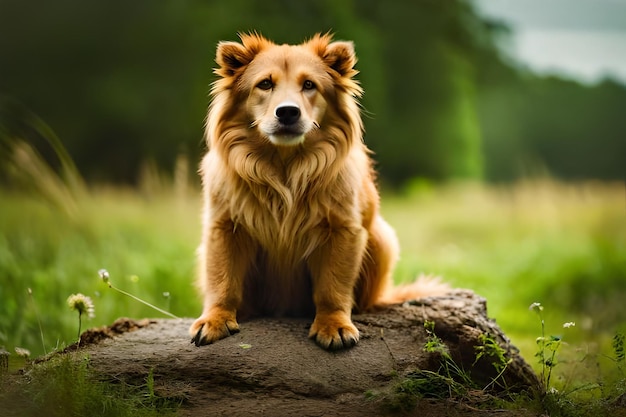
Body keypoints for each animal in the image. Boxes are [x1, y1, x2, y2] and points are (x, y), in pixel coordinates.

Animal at [189, 34, 444, 350]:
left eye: (309, 85)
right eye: (265, 84)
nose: (287, 112)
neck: (284, 168)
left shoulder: (343, 230)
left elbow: (332, 288)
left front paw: (333, 325)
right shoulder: (224, 227)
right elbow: (223, 282)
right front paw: (215, 319)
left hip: (382, 238)